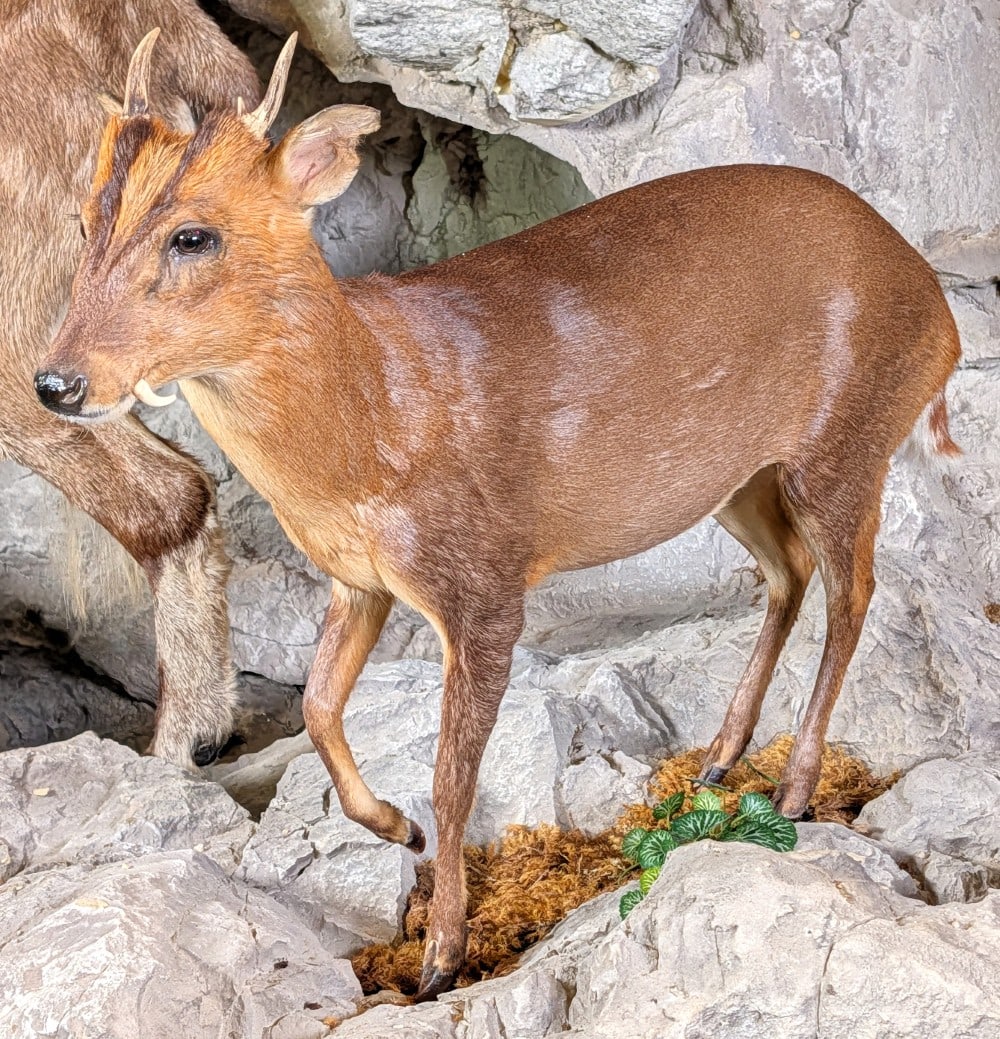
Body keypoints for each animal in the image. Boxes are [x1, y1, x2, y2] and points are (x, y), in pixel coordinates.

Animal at [37, 32, 961, 998]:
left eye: (193, 235)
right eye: (85, 225)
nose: (55, 382)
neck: (373, 417)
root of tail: (944, 315)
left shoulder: (484, 581)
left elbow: (453, 774)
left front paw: (442, 954)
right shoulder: (359, 578)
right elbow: (320, 706)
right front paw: (391, 825)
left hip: (850, 438)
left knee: (854, 591)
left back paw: (791, 791)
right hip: (736, 476)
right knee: (790, 572)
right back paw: (718, 756)